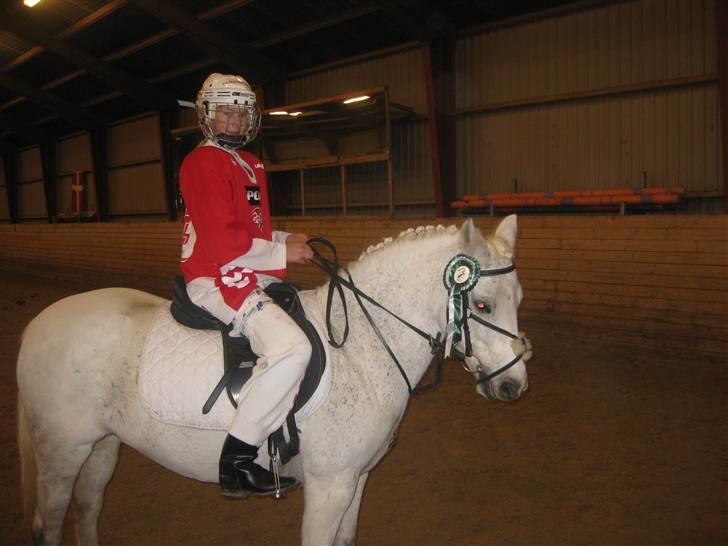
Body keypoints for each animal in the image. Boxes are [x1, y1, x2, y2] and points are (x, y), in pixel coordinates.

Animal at [17, 216, 528, 544]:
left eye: (519, 299)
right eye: (481, 304)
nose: (513, 387)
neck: (360, 349)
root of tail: (38, 324)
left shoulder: (356, 481)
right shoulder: (328, 489)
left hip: (102, 447)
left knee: (87, 510)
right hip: (62, 453)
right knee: (52, 521)